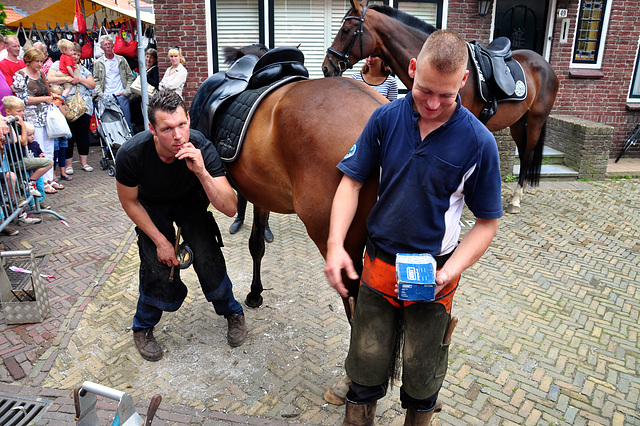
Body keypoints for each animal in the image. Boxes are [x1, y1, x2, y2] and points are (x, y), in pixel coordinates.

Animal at [322, 0, 556, 213]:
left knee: (527, 154)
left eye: (345, 30)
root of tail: (546, 65)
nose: (326, 67)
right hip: (517, 122)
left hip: (535, 121)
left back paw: (515, 200)